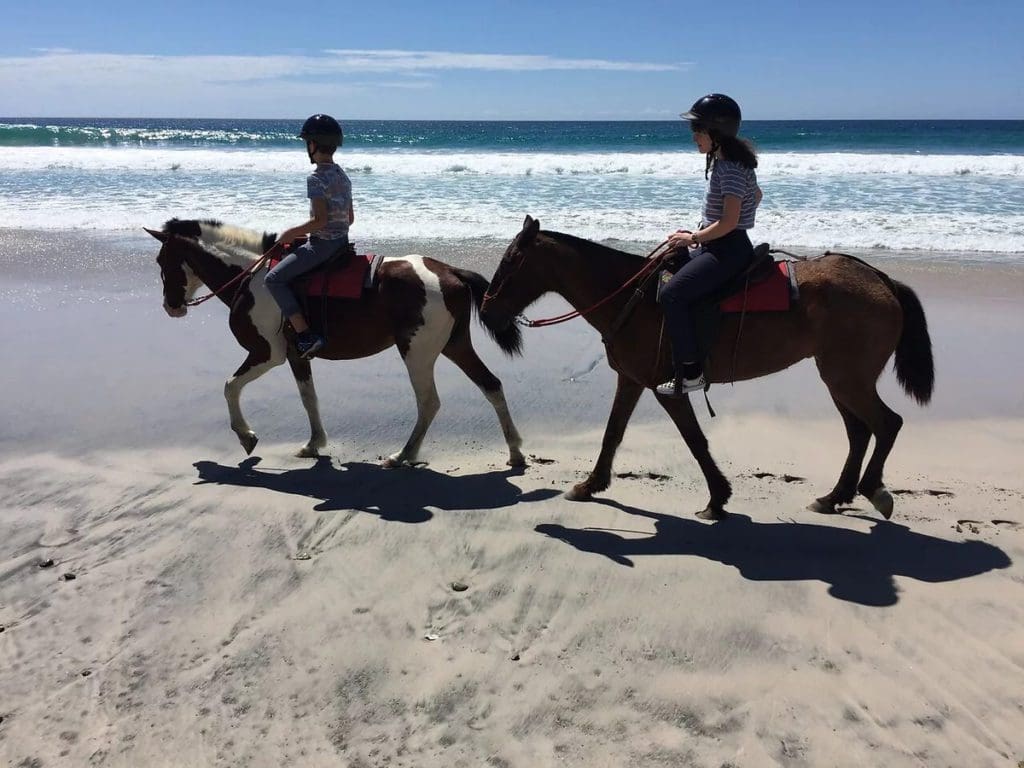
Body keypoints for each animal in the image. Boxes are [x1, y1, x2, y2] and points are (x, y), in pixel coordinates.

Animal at [146, 218, 528, 468]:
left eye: (162, 261)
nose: (170, 306)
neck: (252, 277)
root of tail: (450, 271)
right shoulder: (297, 355)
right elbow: (308, 398)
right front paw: (314, 444)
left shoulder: (267, 354)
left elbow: (229, 386)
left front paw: (246, 436)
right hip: (454, 345)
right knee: (491, 385)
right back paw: (515, 451)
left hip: (417, 353)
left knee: (429, 402)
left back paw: (404, 455)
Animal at [479, 217, 937, 520]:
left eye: (511, 262)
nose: (485, 312)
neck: (633, 297)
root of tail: (882, 280)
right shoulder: (631, 380)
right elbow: (613, 434)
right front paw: (591, 485)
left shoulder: (666, 387)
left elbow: (694, 440)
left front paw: (718, 497)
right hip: (839, 378)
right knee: (860, 431)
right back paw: (834, 496)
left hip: (847, 378)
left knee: (886, 424)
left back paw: (872, 490)